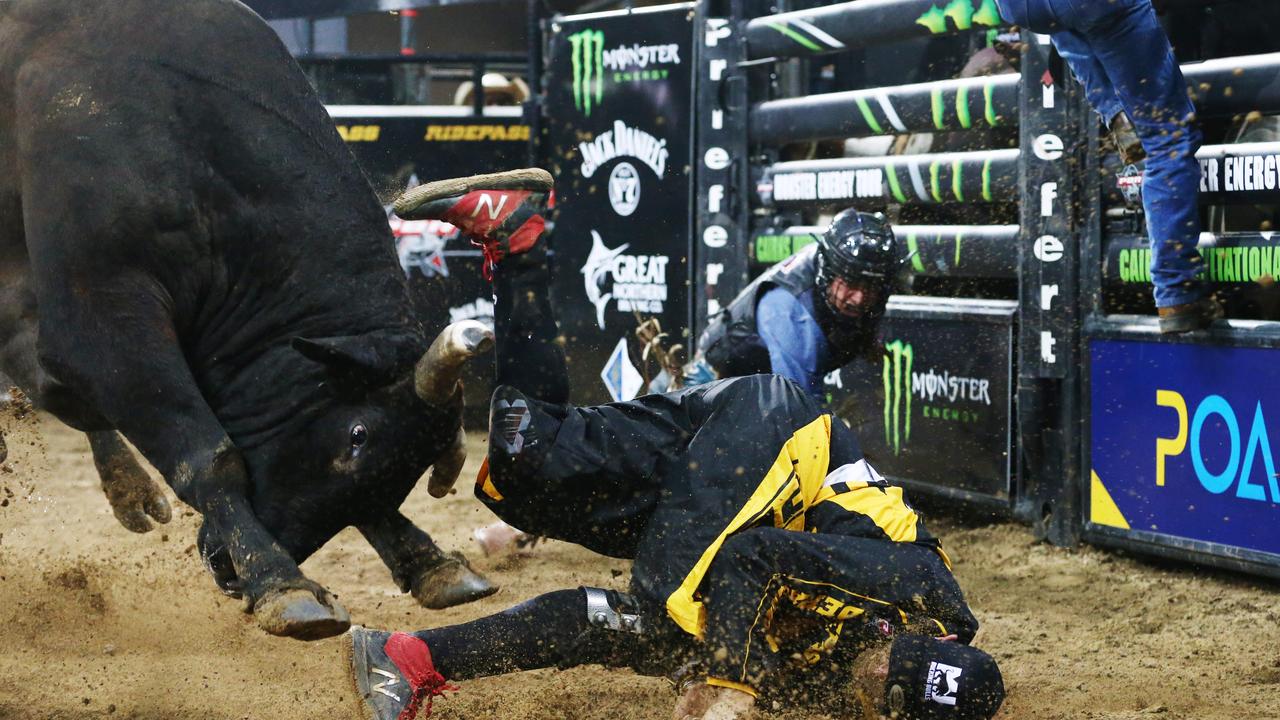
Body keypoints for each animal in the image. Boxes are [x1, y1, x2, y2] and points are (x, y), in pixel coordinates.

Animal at [0, 0, 494, 638]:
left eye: (413, 463)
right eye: (356, 436)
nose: (223, 566)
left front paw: (430, 561)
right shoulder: (102, 315)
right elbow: (207, 455)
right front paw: (282, 583)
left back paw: (131, 492)